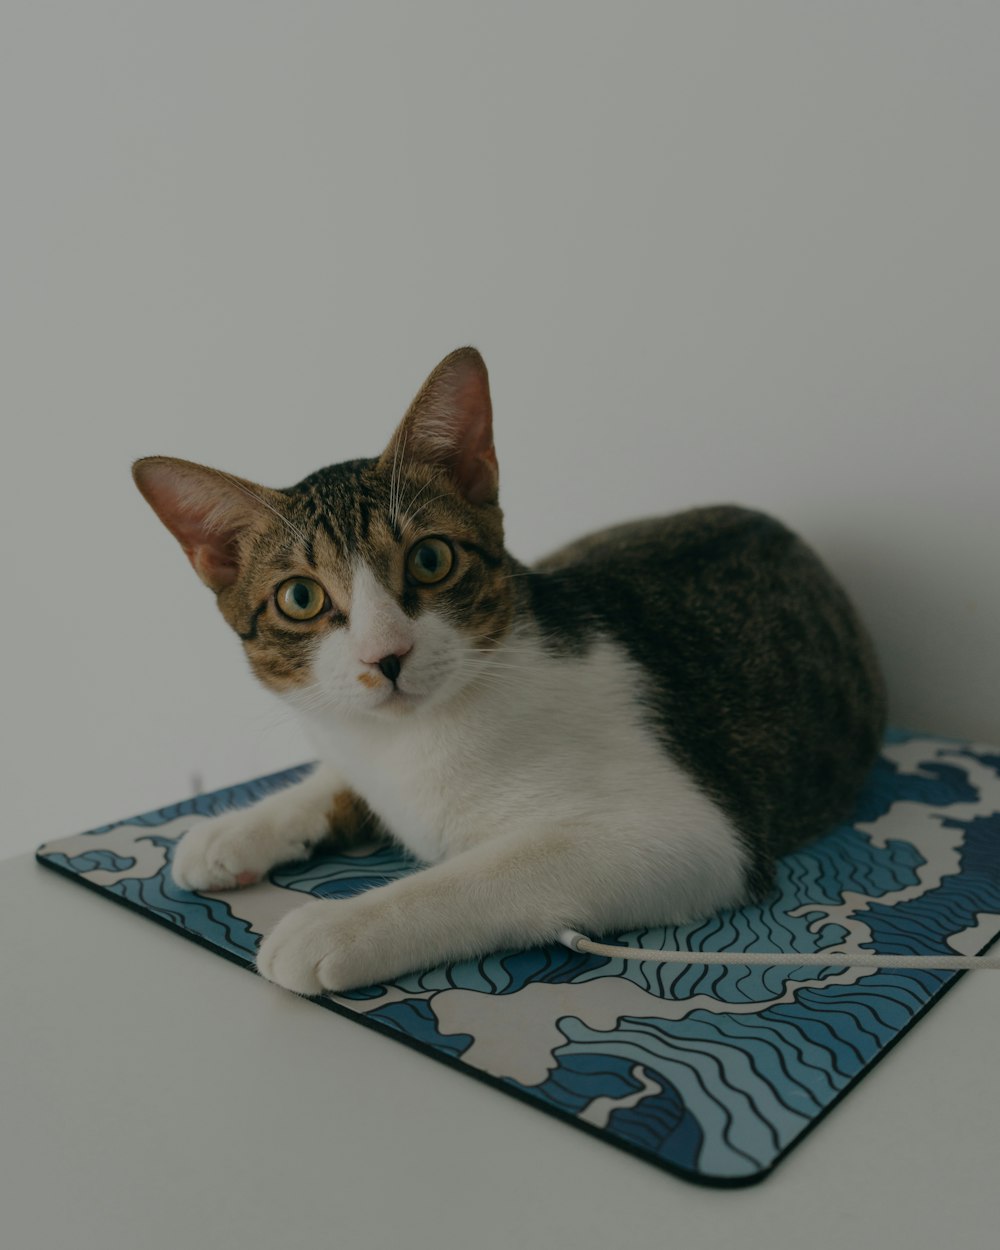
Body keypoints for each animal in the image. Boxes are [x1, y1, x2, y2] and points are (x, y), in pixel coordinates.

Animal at [130, 350, 885, 995]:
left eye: (431, 559)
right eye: (299, 598)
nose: (385, 655)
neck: (417, 736)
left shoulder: (701, 835)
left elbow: (490, 871)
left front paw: (336, 925)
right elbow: (336, 776)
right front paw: (237, 828)